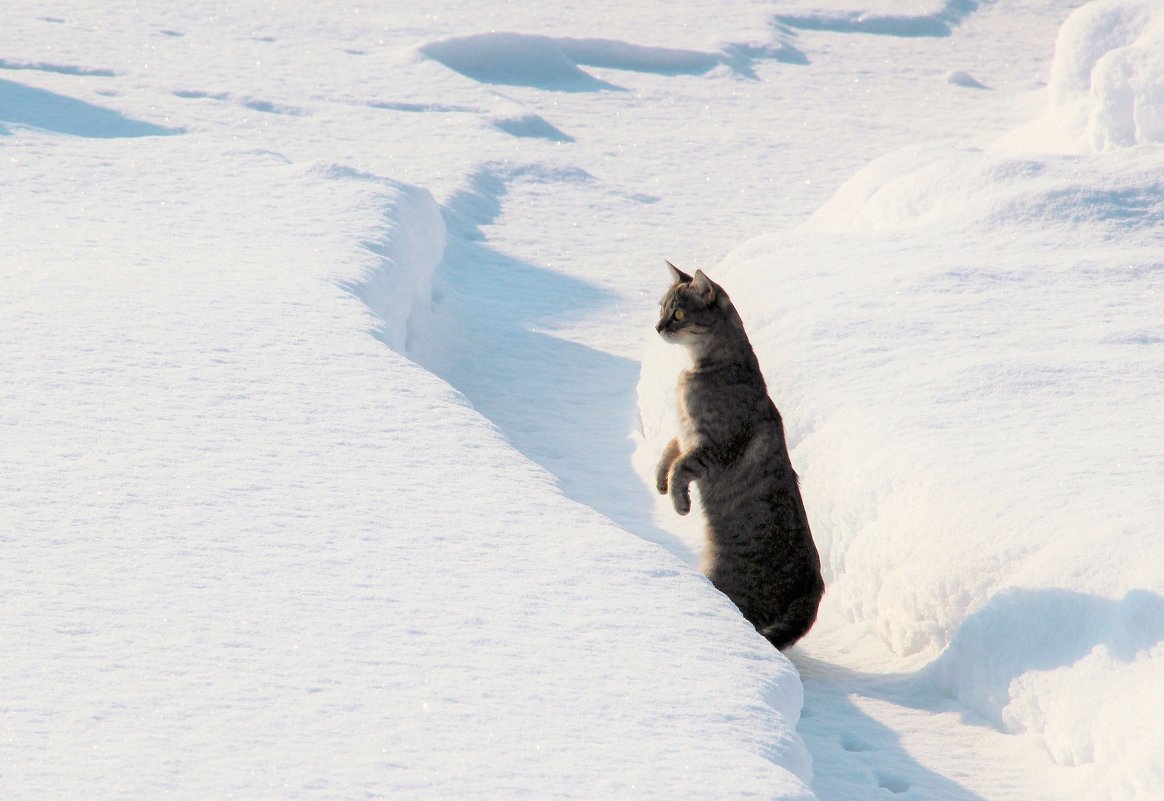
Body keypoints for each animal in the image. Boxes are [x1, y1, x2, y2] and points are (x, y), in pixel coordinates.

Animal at [656, 263, 828, 651]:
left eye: (678, 314)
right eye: (661, 308)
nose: (657, 327)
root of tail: (814, 590)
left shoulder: (715, 447)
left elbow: (681, 466)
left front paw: (679, 502)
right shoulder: (685, 433)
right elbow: (669, 453)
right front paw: (660, 482)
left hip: (732, 584)